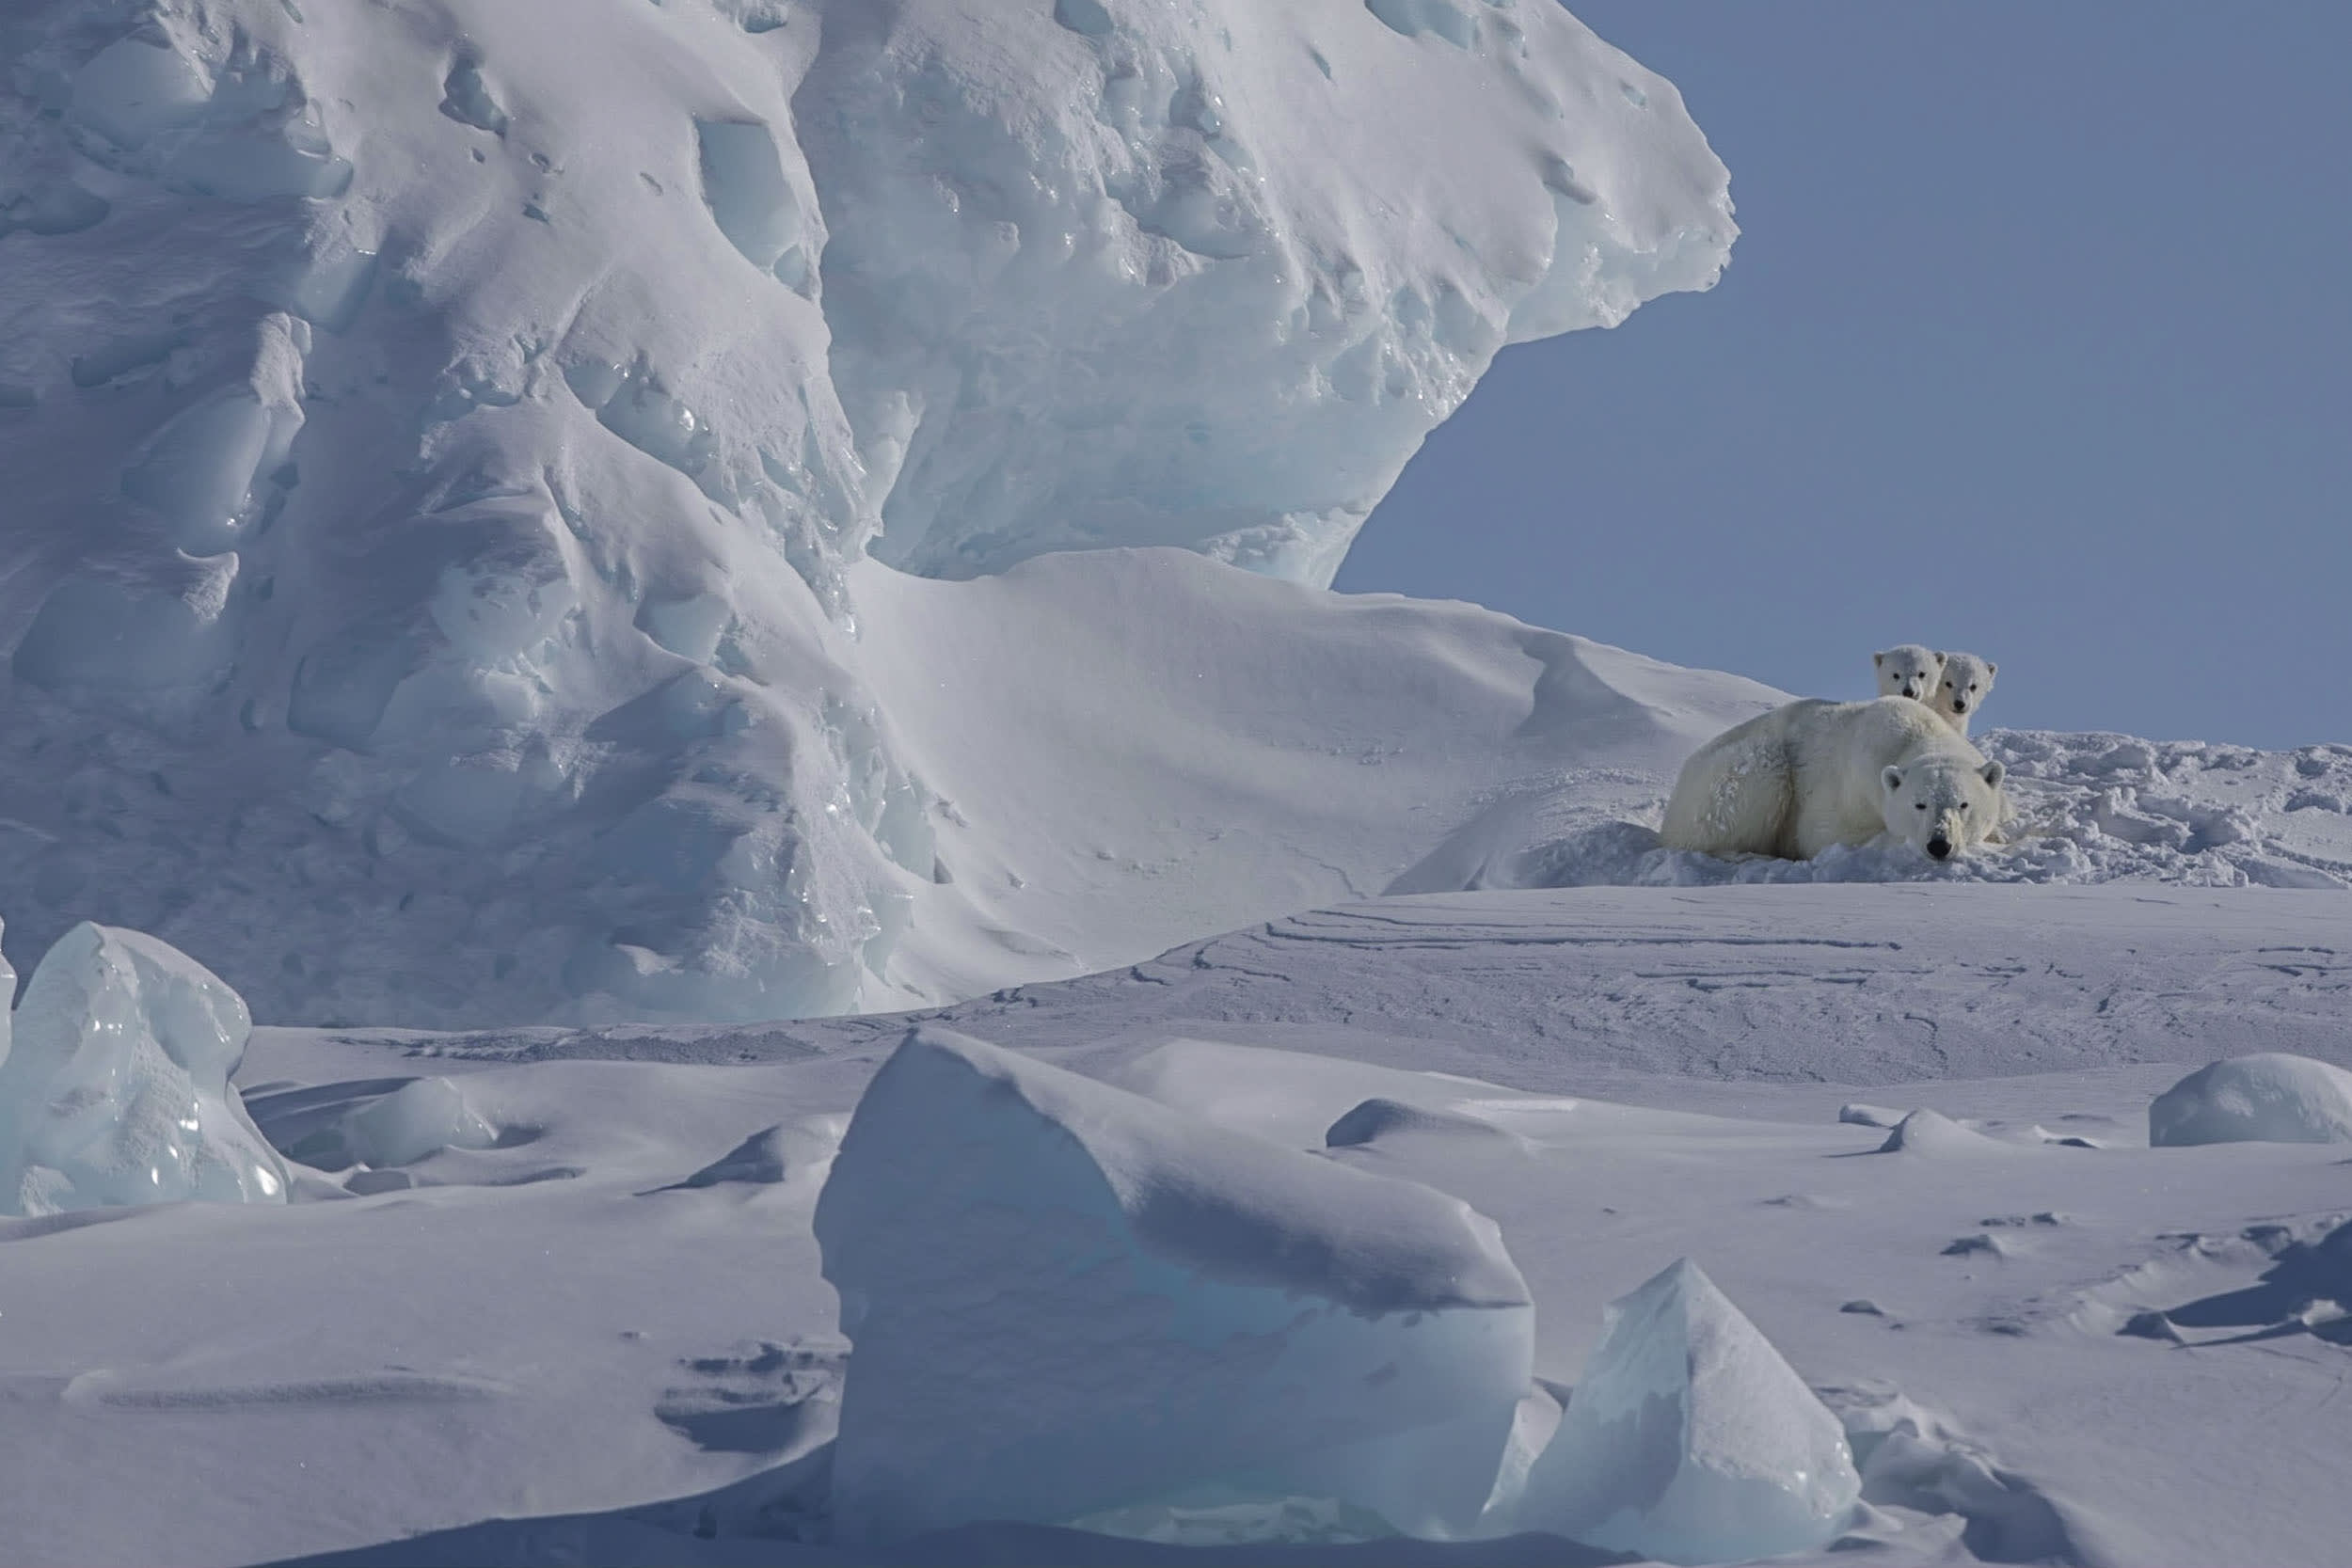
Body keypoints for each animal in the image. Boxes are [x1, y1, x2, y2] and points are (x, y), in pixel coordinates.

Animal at [1656, 695, 2004, 864]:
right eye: (1920, 804)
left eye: (1964, 804)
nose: (1939, 844)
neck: (1916, 733)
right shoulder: (1851, 790)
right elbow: (1826, 834)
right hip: (1738, 770)